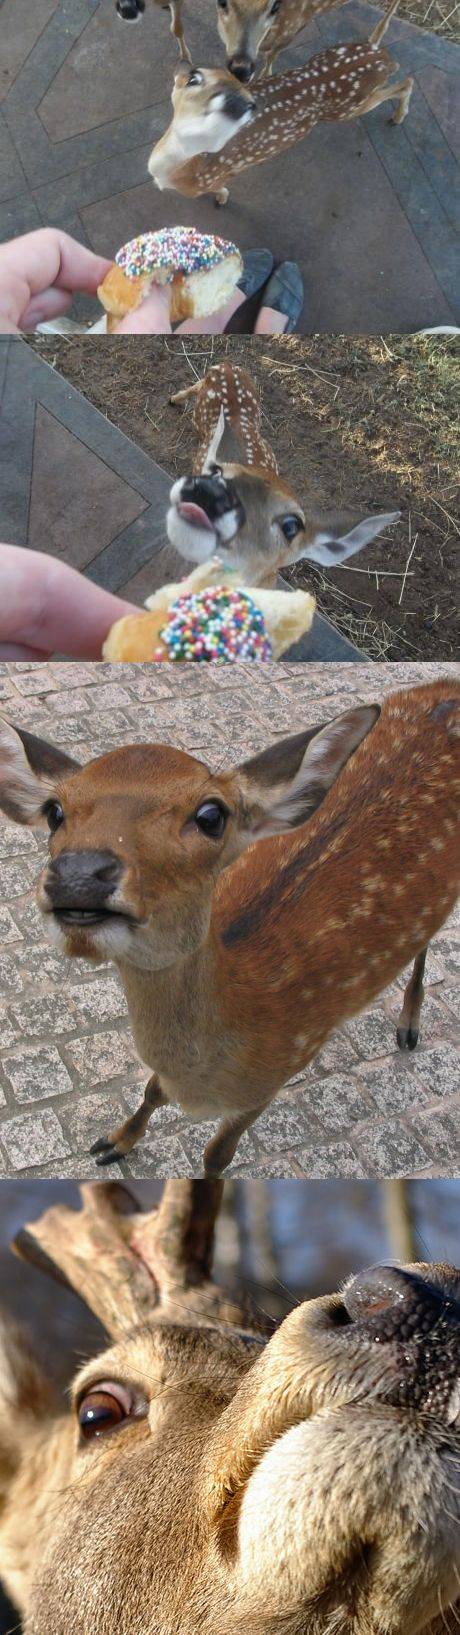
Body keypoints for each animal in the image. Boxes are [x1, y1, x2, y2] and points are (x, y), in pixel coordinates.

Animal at [0, 677, 458, 1176]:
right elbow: (152, 1089)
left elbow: (218, 1155)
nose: (79, 873)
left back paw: (409, 1026)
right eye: (54, 811)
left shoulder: (279, 1072)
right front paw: (115, 1142)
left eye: (211, 815)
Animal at [147, 0, 413, 205]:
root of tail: (379, 53)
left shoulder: (212, 180)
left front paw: (222, 198)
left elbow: (220, 189)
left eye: (194, 78)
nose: (185, 64)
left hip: (348, 108)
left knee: (404, 80)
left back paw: (398, 115)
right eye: (201, 72)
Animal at [163, 361, 400, 588]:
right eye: (216, 471)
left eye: (291, 526)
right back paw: (173, 399)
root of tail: (228, 365)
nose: (208, 493)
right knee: (194, 387)